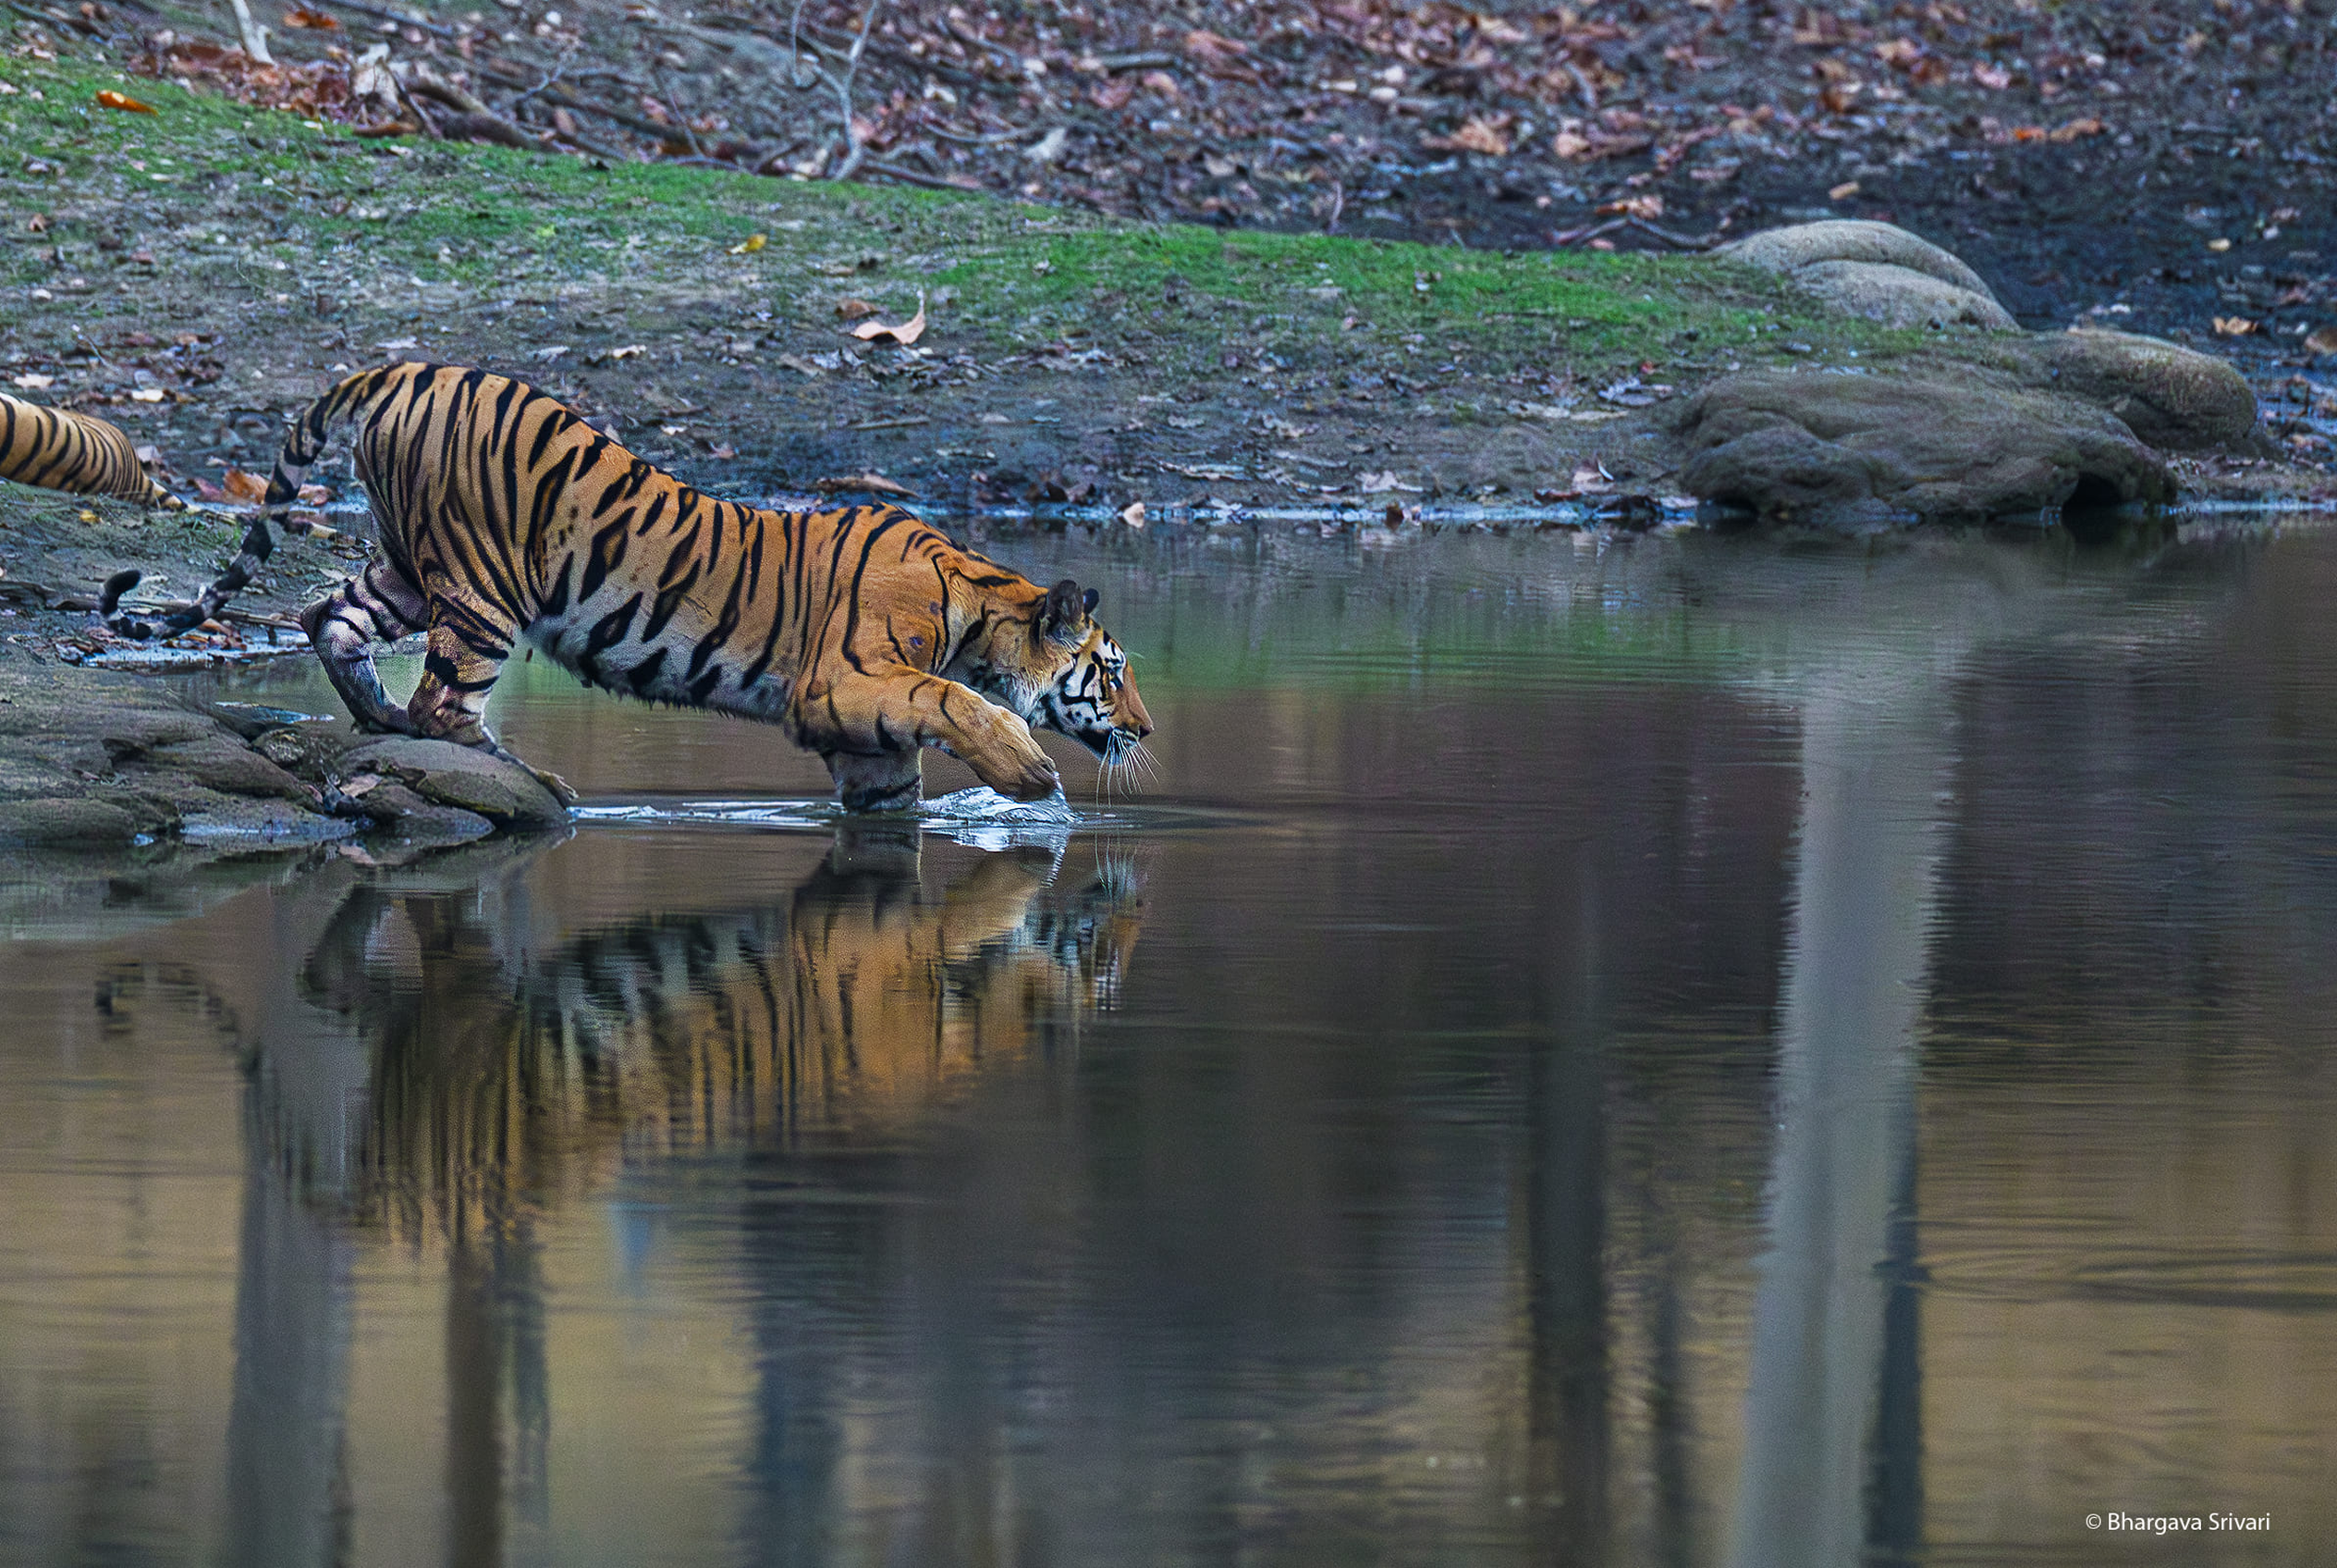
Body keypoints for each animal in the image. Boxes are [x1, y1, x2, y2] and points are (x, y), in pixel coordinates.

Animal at [102, 362, 1154, 809]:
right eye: (1111, 672)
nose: (1144, 732)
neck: (978, 610)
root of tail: (405, 367)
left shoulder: (858, 731)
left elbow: (891, 786)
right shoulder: (844, 679)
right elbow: (950, 699)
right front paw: (1028, 773)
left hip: (406, 564)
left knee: (329, 615)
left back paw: (379, 720)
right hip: (484, 589)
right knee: (445, 699)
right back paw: (536, 783)